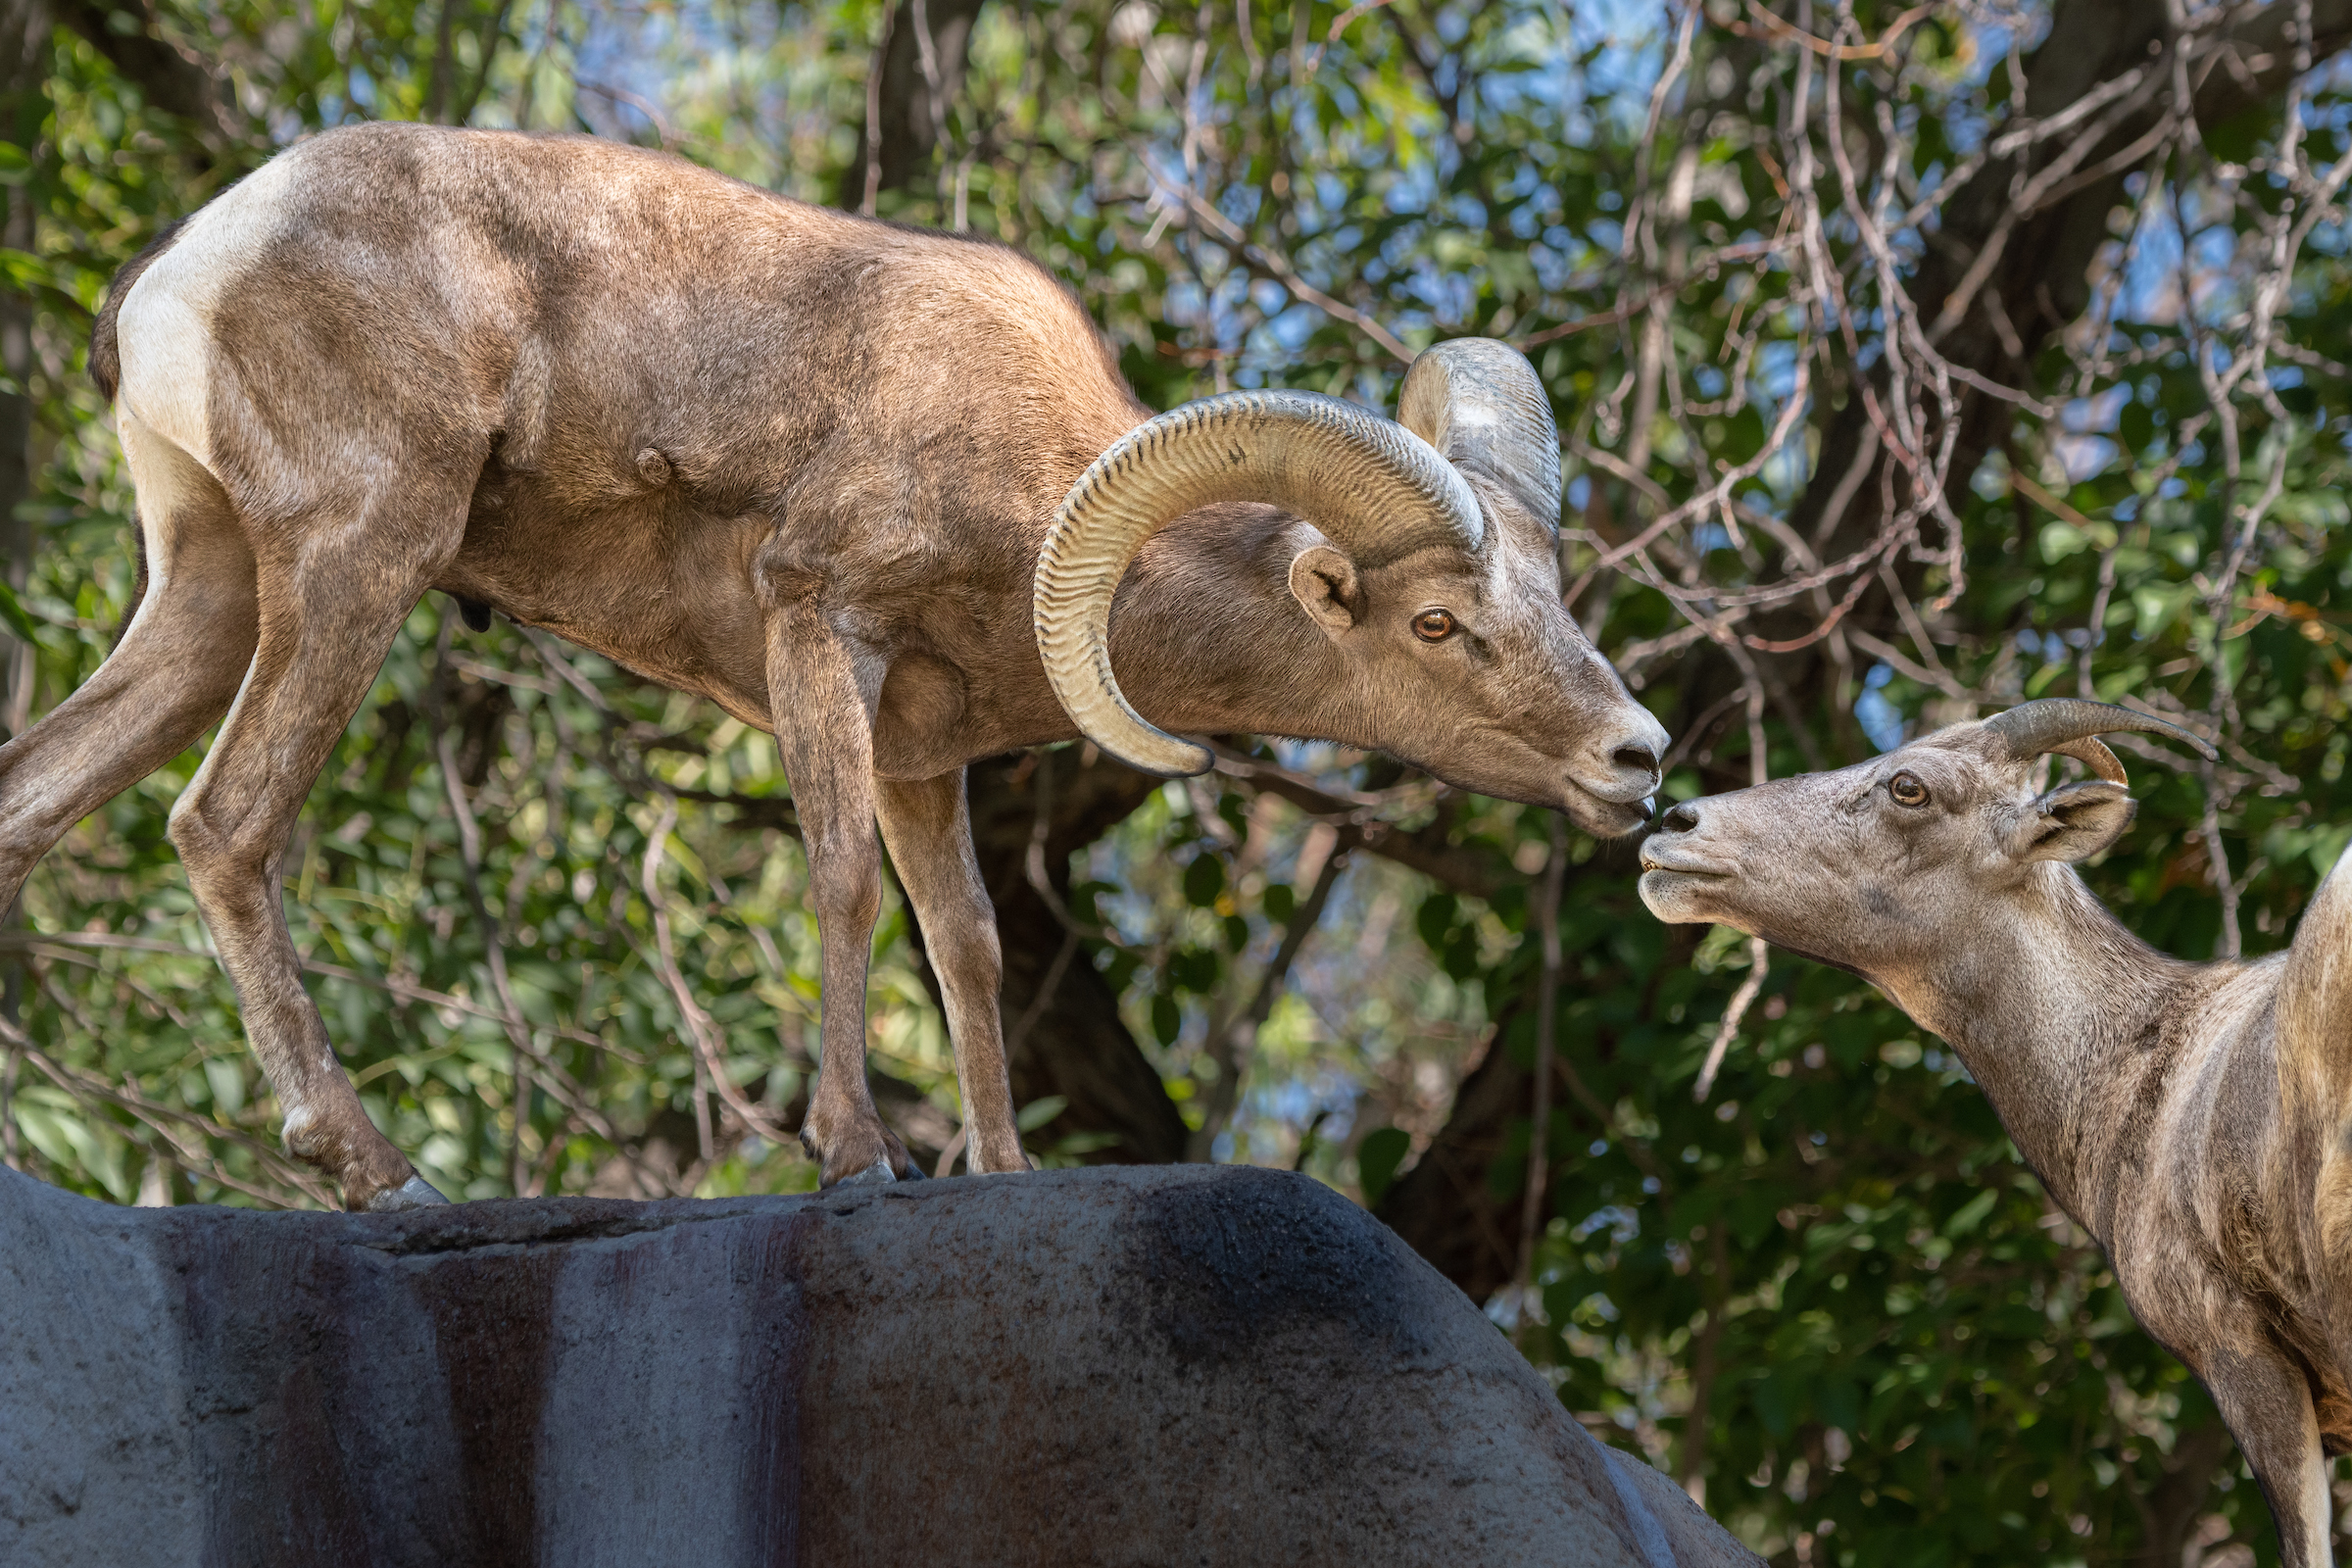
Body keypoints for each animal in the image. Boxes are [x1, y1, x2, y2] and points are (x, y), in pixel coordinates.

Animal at [25, 121, 1670, 1211]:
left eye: (1554, 596)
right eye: (1437, 625)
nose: (1638, 759)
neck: (1029, 474)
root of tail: (194, 257)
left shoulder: (926, 761)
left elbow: (968, 948)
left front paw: (996, 1170)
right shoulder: (820, 626)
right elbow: (840, 883)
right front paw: (857, 1159)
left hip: (209, 596)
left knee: (33, 800)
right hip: (362, 555)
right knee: (223, 824)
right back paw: (378, 1172)